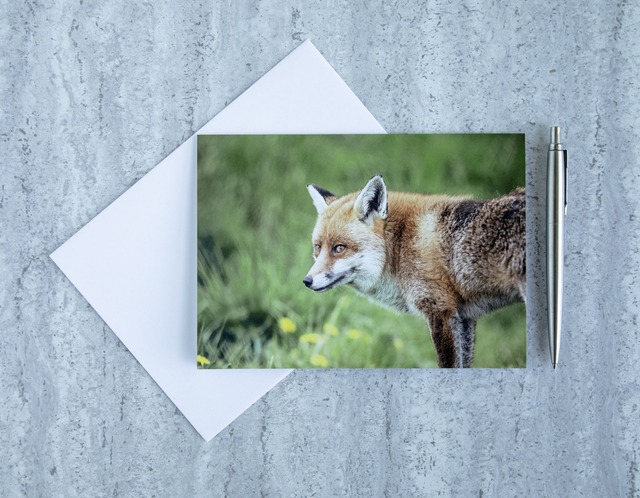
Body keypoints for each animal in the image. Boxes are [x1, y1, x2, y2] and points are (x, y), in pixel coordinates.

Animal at [303, 175, 525, 368]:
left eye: (339, 248)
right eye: (317, 247)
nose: (307, 281)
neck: (400, 245)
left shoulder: (440, 310)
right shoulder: (464, 316)